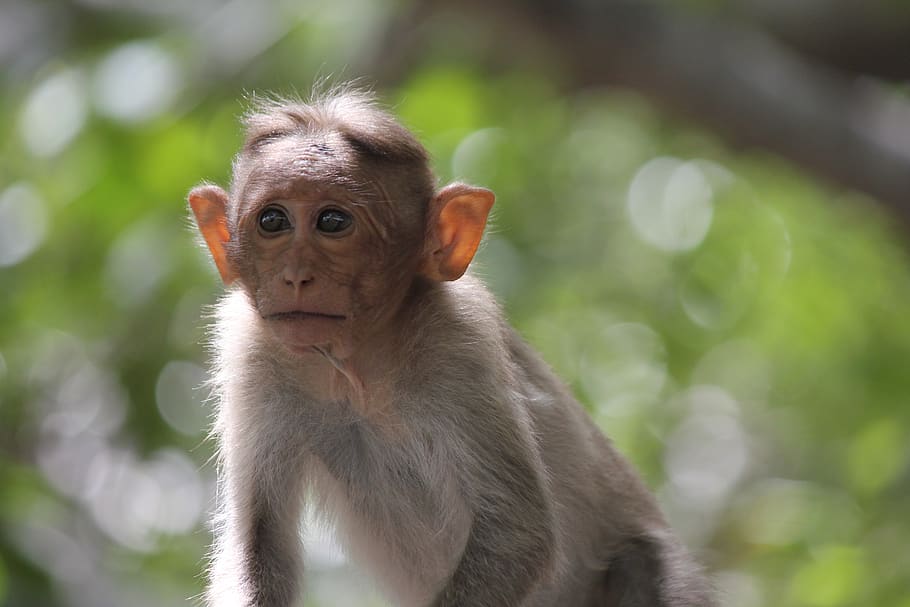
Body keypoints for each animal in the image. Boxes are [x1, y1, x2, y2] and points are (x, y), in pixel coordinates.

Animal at [187, 86, 717, 607]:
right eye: (272, 221)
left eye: (332, 221)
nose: (296, 275)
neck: (358, 370)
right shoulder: (251, 351)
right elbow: (261, 544)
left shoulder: (460, 343)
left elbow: (515, 533)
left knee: (638, 564)